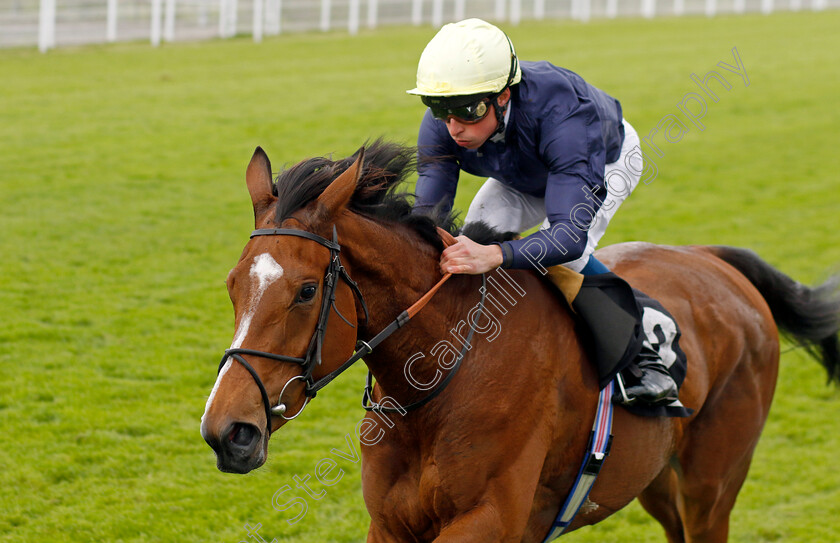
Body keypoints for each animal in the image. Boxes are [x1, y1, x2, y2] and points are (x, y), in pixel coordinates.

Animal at [200, 141, 836, 543]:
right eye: (232, 284)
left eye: (307, 290)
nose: (228, 432)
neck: (440, 381)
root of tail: (716, 259)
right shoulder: (390, 524)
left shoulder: (489, 519)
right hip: (656, 476)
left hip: (713, 480)